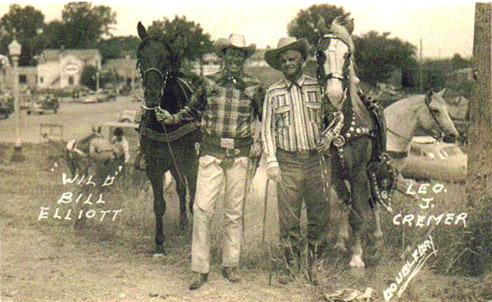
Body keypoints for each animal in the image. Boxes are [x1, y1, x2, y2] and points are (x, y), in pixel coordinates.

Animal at [135, 21, 200, 255]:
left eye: (166, 58)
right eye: (141, 57)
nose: (152, 97)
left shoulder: (190, 161)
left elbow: (194, 196)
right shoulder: (155, 166)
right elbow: (159, 204)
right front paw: (159, 243)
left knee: (187, 189)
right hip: (173, 163)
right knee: (180, 188)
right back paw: (181, 223)